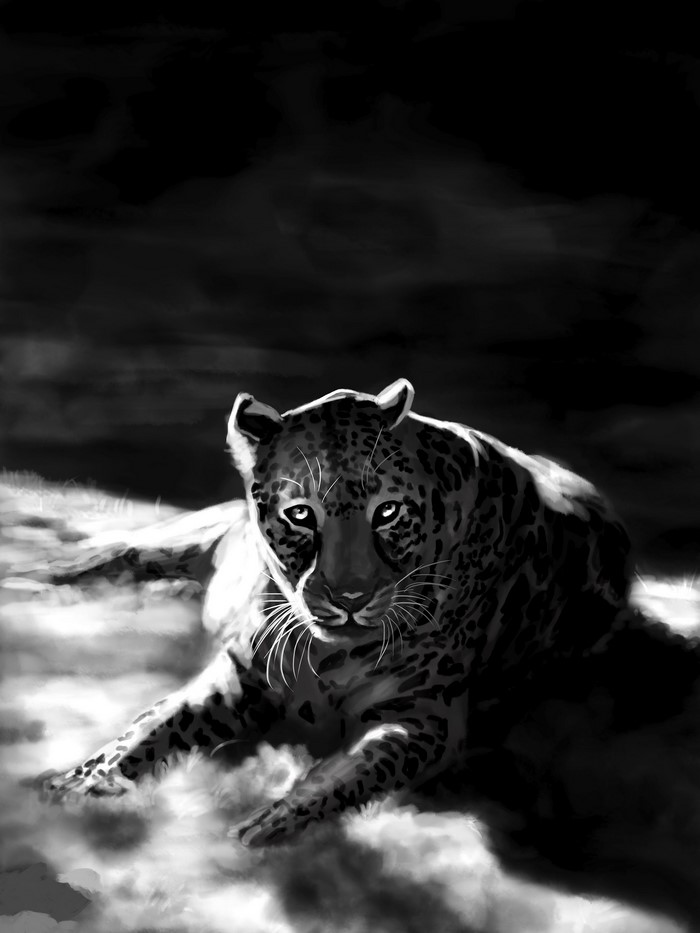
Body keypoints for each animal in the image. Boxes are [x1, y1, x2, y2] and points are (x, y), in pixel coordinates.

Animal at [39, 378, 632, 846]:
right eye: (301, 515)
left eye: (388, 512)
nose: (350, 598)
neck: (325, 654)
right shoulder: (239, 673)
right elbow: (157, 724)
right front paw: (84, 781)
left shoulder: (426, 720)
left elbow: (346, 779)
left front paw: (259, 833)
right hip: (186, 536)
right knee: (121, 554)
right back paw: (40, 574)